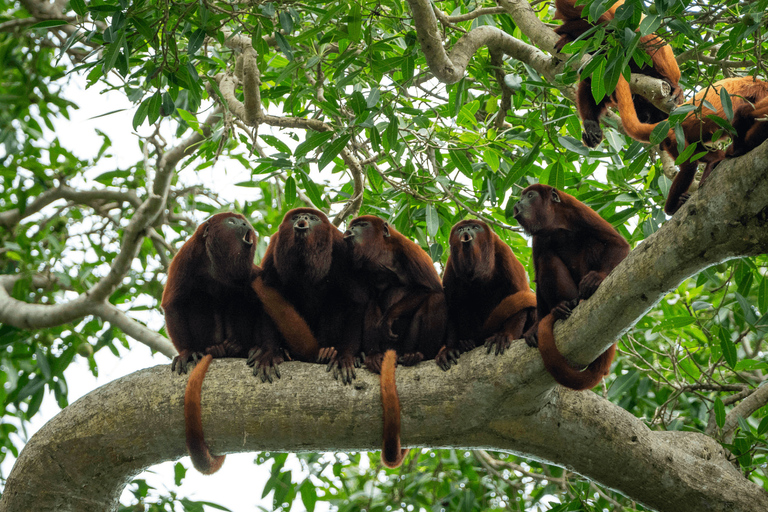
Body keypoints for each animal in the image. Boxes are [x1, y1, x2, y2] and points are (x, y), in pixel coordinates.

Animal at [258, 208, 366, 384]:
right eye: (296, 217)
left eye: (313, 218)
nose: (303, 217)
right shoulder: (274, 247)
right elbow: (267, 296)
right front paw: (270, 353)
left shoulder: (341, 248)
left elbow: (356, 301)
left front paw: (345, 357)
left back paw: (329, 352)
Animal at [344, 215, 448, 468]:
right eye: (352, 226)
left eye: (361, 226)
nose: (349, 231)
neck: (382, 257)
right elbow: (367, 300)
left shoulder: (410, 252)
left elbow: (430, 288)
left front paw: (390, 317)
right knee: (372, 303)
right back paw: (374, 356)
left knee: (436, 298)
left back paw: (417, 355)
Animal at [436, 218, 536, 370]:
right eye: (460, 229)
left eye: (475, 227)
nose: (466, 230)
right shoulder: (451, 267)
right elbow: (451, 308)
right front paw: (450, 349)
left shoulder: (505, 254)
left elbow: (519, 296)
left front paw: (504, 335)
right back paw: (465, 344)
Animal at [510, 186, 632, 390]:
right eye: (521, 196)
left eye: (530, 195)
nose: (518, 202)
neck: (555, 222)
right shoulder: (539, 236)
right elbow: (538, 275)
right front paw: (535, 327)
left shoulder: (579, 211)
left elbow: (617, 243)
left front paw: (597, 278)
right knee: (546, 258)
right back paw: (562, 307)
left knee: (592, 241)